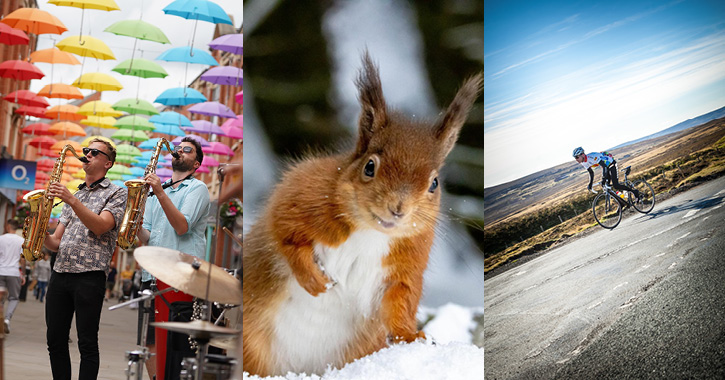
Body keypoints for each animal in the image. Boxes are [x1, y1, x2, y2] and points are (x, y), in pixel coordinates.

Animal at [243, 51, 480, 378]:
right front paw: (313, 280)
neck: (371, 232)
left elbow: (400, 300)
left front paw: (412, 336)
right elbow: (285, 233)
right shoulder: (300, 194)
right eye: (370, 167)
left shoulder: (406, 264)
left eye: (434, 183)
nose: (398, 208)